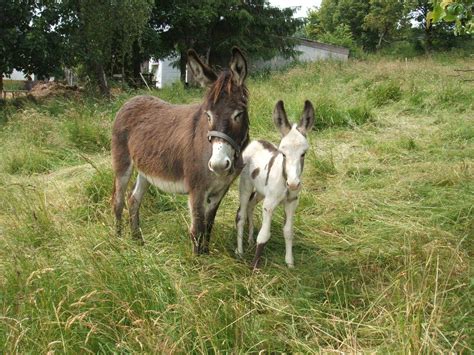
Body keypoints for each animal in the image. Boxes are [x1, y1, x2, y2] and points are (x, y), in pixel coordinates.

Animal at [234, 101, 314, 270]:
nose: (293, 184)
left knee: (250, 205)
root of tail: (256, 141)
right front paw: (254, 267)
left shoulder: (291, 203)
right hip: (246, 187)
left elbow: (288, 231)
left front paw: (289, 262)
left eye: (303, 153)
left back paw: (249, 240)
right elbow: (264, 235)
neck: (284, 180)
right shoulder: (269, 205)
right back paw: (240, 251)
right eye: (283, 154)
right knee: (241, 215)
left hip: (260, 192)